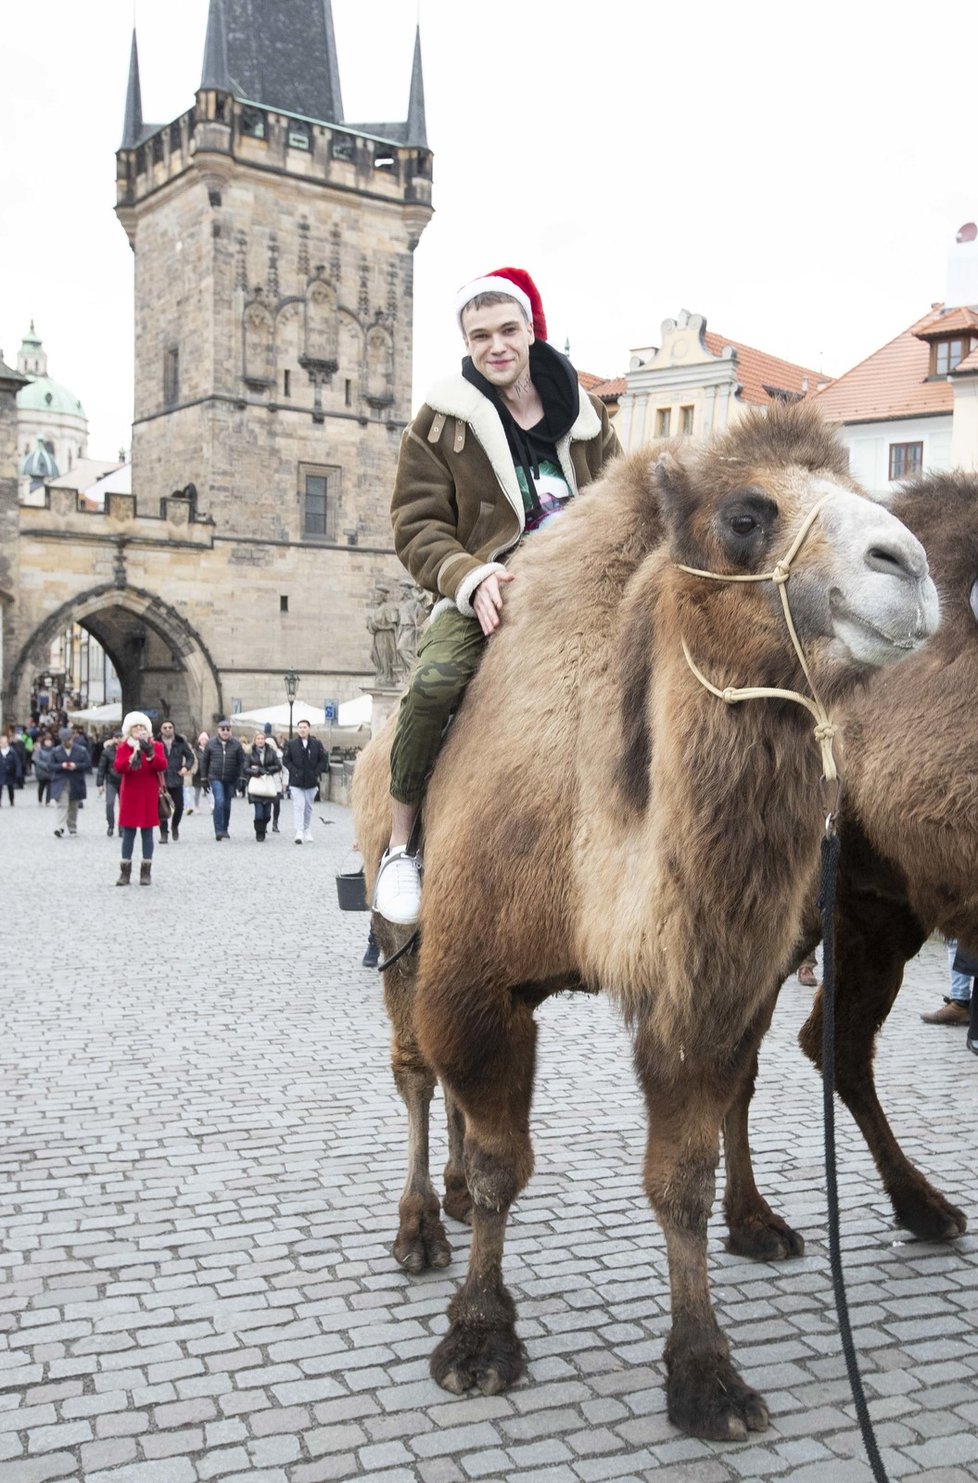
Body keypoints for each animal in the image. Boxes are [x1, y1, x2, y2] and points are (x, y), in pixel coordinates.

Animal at [353, 403, 943, 1435]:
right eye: (746, 515)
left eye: (872, 494)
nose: (906, 564)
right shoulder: (473, 973)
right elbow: (506, 1159)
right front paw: (479, 1338)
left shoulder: (694, 989)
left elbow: (682, 1177)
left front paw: (706, 1374)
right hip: (400, 943)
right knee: (417, 1074)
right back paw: (423, 1225)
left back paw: (452, 1204)